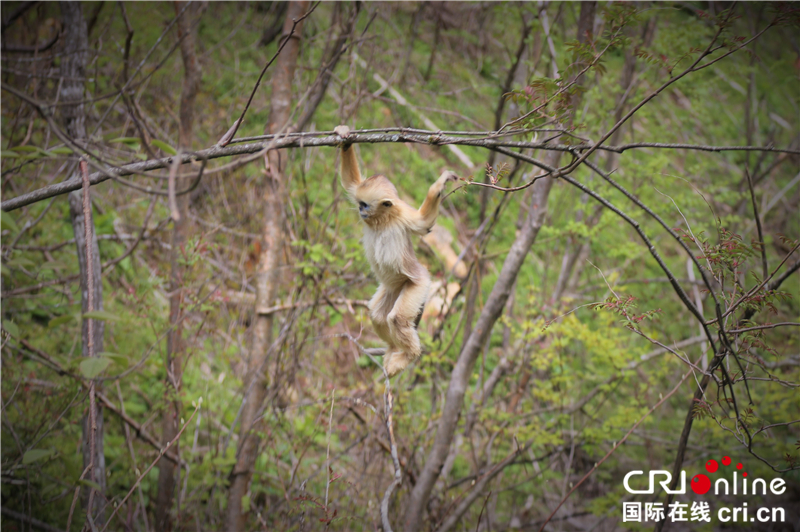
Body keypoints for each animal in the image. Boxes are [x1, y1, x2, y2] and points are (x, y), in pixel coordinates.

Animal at [332, 125, 456, 376]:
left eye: (365, 205)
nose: (360, 211)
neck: (382, 221)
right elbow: (350, 182)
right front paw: (344, 135)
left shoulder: (403, 216)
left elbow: (424, 224)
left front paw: (439, 185)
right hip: (393, 287)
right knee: (377, 314)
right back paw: (391, 348)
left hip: (416, 284)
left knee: (397, 318)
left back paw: (408, 356)